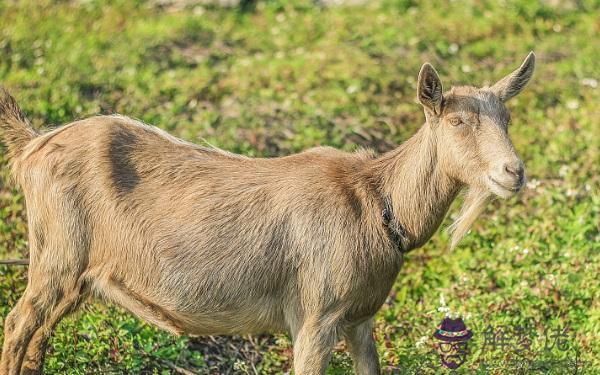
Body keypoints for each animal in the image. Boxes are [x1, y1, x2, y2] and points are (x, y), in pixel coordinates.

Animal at [0, 53, 536, 375]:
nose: (514, 172)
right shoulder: (316, 316)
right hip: (56, 255)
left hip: (77, 274)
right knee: (18, 323)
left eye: (508, 118)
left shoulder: (360, 319)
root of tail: (31, 146)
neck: (376, 202)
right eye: (458, 120)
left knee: (40, 333)